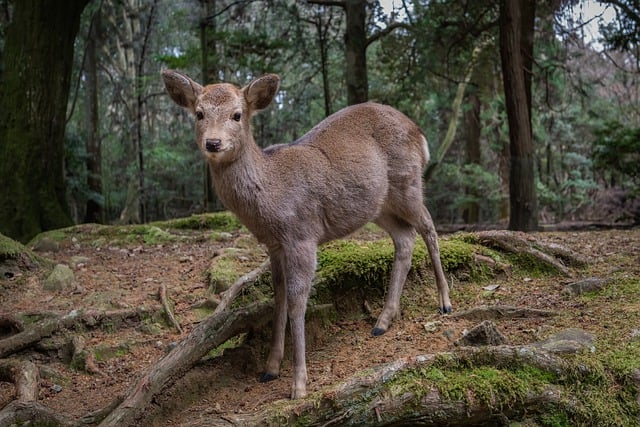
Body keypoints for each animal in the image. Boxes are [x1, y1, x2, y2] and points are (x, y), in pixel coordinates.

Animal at [162, 68, 452, 400]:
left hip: (408, 181)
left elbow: (298, 301)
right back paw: (382, 321)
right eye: (198, 113)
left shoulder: (302, 236)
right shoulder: (274, 245)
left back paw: (445, 302)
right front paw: (270, 368)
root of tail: (420, 133)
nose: (213, 143)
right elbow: (278, 298)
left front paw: (298, 384)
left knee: (428, 225)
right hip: (379, 205)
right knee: (404, 237)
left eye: (237, 114)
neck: (270, 193)